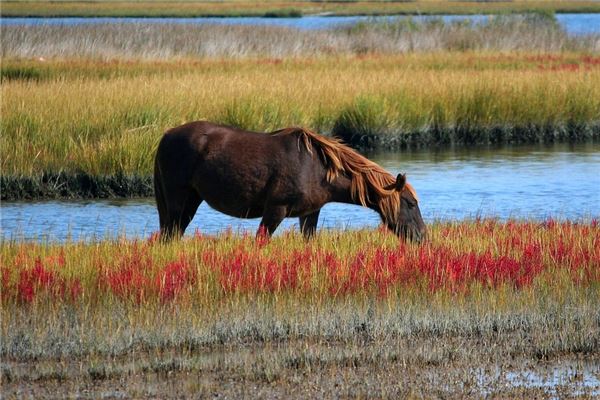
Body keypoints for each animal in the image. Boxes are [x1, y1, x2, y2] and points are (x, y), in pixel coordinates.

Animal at [155, 121, 426, 241]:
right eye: (410, 203)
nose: (423, 237)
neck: (319, 169)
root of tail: (166, 136)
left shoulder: (309, 213)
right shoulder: (275, 210)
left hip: (191, 201)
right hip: (178, 201)